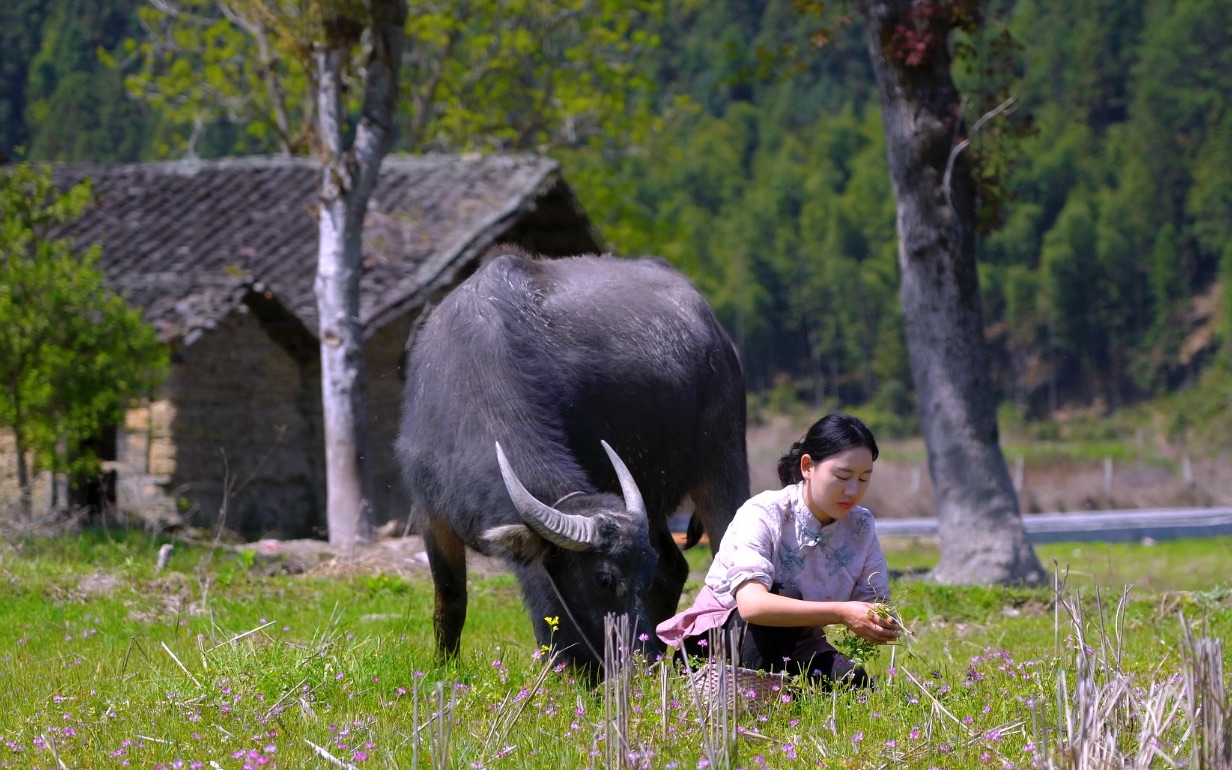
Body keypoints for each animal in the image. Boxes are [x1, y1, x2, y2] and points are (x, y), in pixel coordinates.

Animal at [394, 247, 744, 670]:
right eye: (604, 578)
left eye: (636, 576)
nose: (642, 657)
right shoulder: (431, 515)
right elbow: (451, 599)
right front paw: (444, 666)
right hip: (657, 497)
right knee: (674, 568)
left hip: (723, 461)